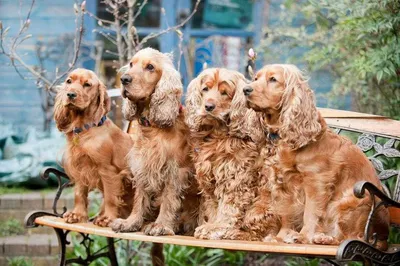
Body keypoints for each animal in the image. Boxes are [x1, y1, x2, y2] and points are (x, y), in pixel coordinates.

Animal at [54, 68, 134, 227]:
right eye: (69, 81)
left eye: (87, 84)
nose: (70, 94)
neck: (85, 129)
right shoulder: (79, 167)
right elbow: (79, 194)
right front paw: (77, 215)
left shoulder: (108, 170)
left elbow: (110, 197)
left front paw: (107, 218)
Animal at [110, 47, 199, 235]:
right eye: (131, 64)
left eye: (150, 67)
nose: (124, 79)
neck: (152, 127)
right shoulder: (142, 165)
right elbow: (140, 199)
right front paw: (131, 222)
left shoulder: (175, 171)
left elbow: (168, 200)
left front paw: (161, 225)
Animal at [186, 67, 280, 240]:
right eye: (205, 89)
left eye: (224, 93)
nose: (208, 106)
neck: (218, 135)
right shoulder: (209, 180)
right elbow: (212, 207)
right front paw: (211, 224)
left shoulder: (235, 179)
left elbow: (228, 207)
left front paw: (217, 227)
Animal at [242, 63, 390, 248]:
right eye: (255, 78)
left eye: (273, 79)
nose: (245, 89)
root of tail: (384, 238)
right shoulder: (283, 181)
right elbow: (286, 212)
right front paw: (281, 236)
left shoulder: (316, 181)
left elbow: (311, 212)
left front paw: (303, 236)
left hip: (353, 200)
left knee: (352, 237)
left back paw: (324, 238)